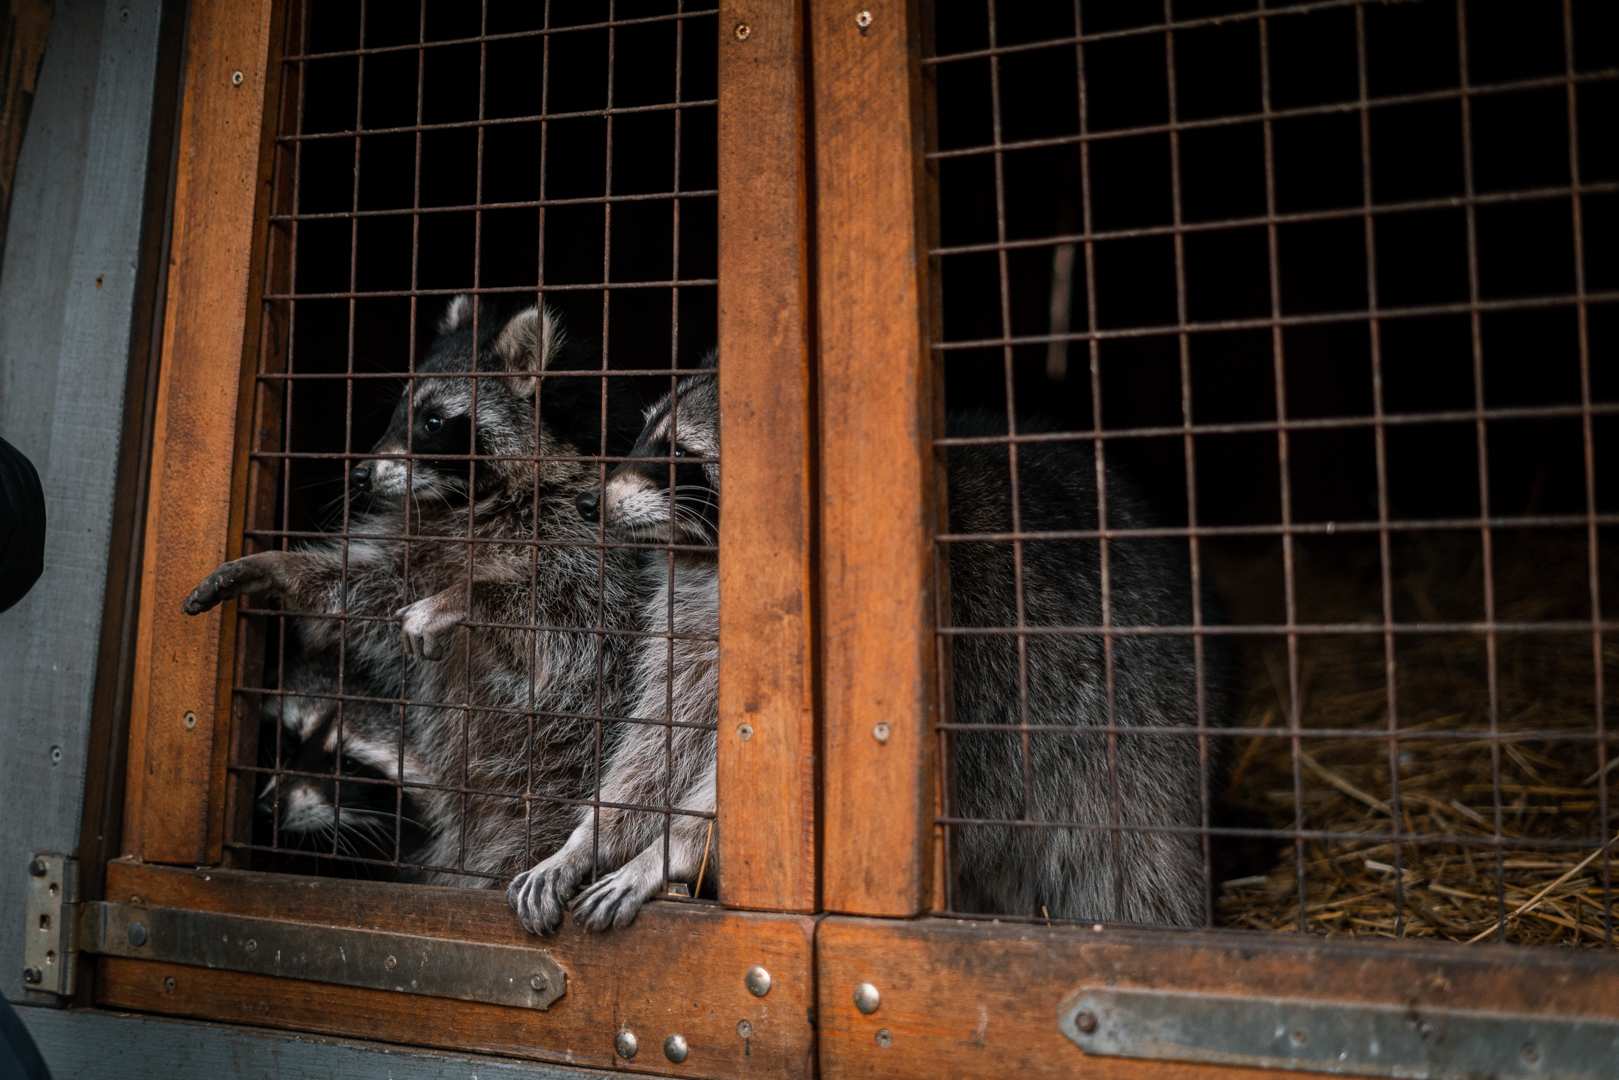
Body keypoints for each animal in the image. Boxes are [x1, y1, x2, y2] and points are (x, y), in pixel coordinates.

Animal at [184, 297, 650, 883]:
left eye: (433, 421)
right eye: (395, 413)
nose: (359, 476)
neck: (471, 502)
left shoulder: (597, 542)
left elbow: (564, 622)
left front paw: (465, 598)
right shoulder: (424, 543)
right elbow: (374, 592)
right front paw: (282, 568)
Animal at [508, 362, 719, 934]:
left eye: (678, 451)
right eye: (643, 434)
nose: (588, 502)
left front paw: (666, 853)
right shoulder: (690, 625)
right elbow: (664, 738)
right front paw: (587, 840)